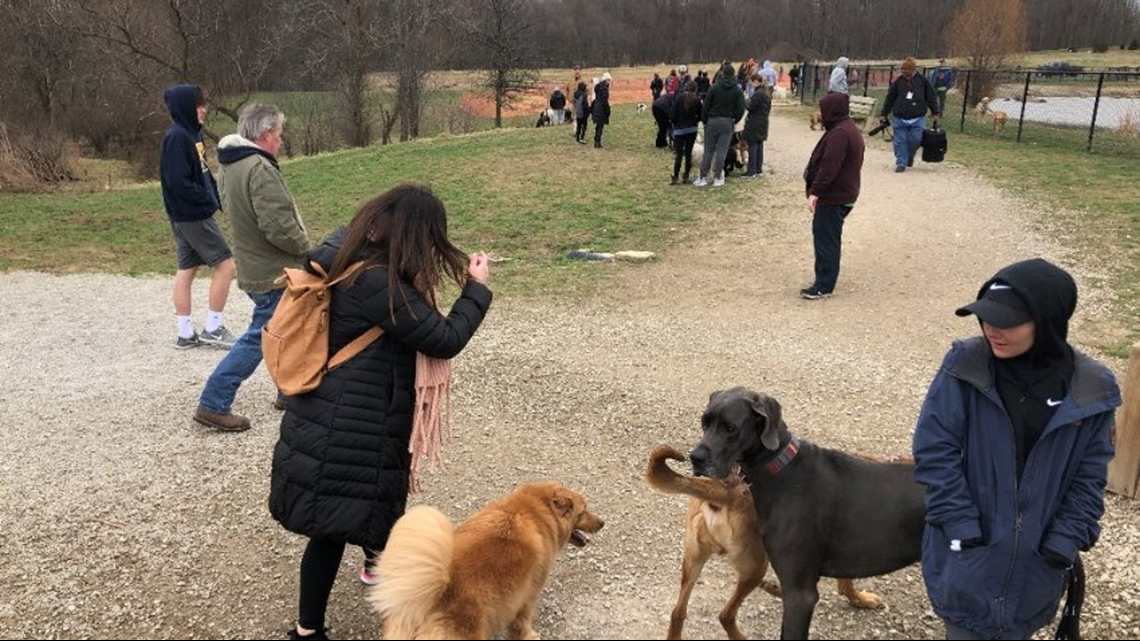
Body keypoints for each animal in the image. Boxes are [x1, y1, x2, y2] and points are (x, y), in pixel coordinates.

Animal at [652, 444, 880, 638]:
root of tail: (727, 490)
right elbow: (846, 583)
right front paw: (860, 599)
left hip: (695, 562)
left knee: (678, 613)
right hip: (756, 564)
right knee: (726, 615)